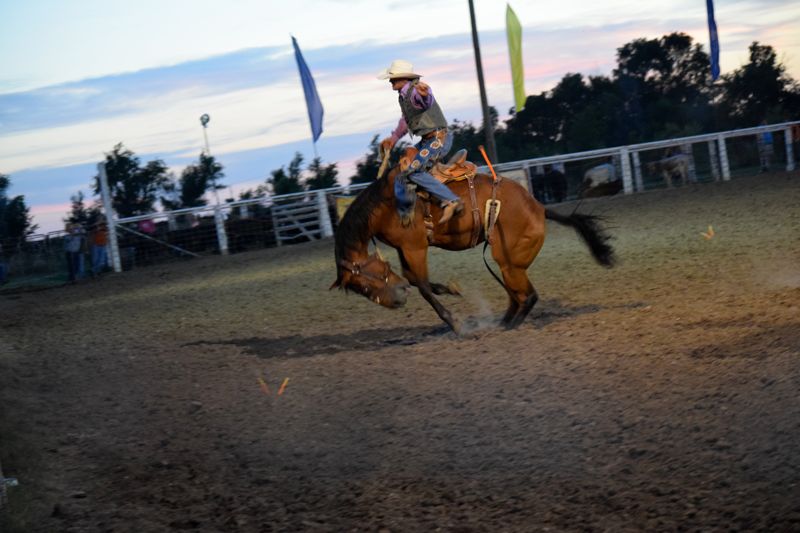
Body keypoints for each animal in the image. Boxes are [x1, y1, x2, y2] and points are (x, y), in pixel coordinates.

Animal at [328, 162, 616, 330]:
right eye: (361, 290)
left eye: (366, 283)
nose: (397, 301)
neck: (385, 206)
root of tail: (539, 207)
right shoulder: (404, 249)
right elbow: (414, 279)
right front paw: (449, 289)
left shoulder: (415, 247)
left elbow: (422, 285)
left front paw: (453, 322)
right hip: (509, 264)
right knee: (517, 295)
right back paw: (502, 323)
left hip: (510, 262)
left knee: (528, 296)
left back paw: (510, 325)